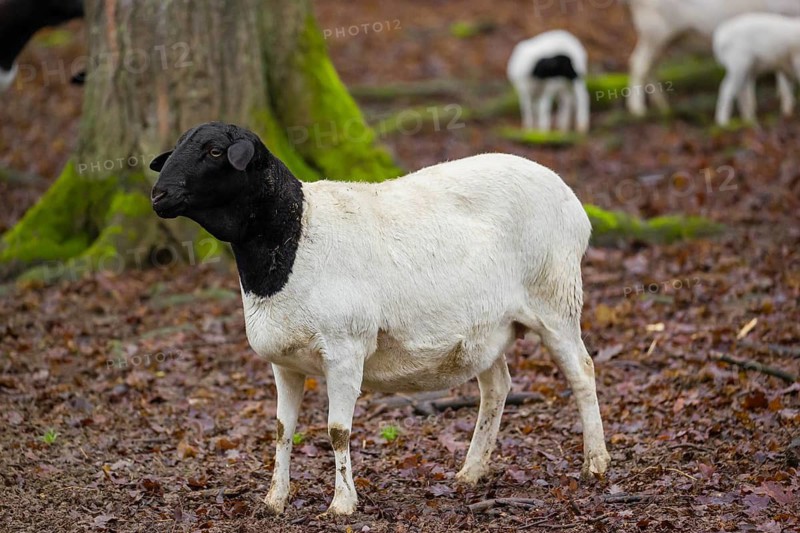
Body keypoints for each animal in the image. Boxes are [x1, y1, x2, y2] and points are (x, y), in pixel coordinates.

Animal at [149, 122, 610, 516]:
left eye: (214, 151)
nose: (157, 195)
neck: (294, 235)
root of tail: (571, 199)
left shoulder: (344, 350)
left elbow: (337, 431)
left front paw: (342, 504)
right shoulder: (284, 362)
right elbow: (282, 429)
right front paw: (274, 499)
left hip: (555, 299)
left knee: (582, 371)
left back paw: (596, 463)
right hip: (485, 328)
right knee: (497, 386)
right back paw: (471, 472)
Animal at [625, 0, 800, 116]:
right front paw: (787, 106)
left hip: (667, 38)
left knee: (651, 65)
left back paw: (663, 106)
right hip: (656, 31)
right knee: (639, 63)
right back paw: (638, 109)